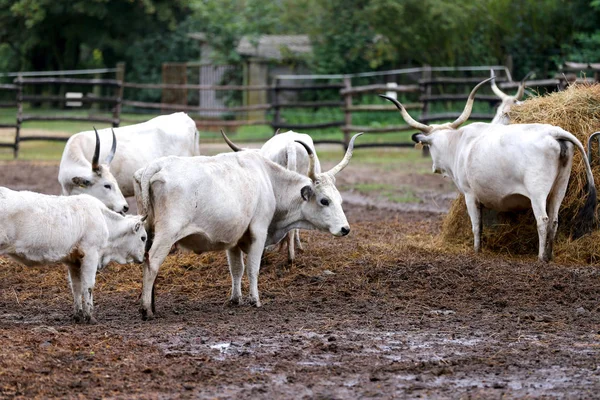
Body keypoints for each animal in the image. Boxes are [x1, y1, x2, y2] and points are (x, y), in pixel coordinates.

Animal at [380, 76, 596, 262]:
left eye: (429, 146)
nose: (434, 168)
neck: (458, 143)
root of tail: (554, 132)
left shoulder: (470, 194)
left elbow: (477, 225)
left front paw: (477, 250)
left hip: (538, 192)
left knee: (543, 220)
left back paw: (541, 258)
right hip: (560, 187)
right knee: (554, 221)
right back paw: (549, 256)